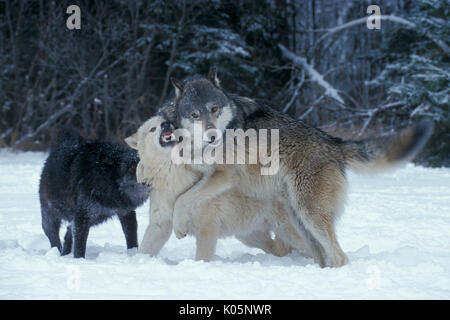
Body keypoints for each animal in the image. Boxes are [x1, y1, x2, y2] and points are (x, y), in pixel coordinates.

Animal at [38, 127, 148, 258]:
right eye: (132, 167)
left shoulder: (127, 213)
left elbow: (132, 239)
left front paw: (133, 254)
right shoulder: (83, 216)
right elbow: (79, 247)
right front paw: (79, 261)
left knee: (68, 234)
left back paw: (65, 254)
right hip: (51, 217)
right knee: (54, 238)